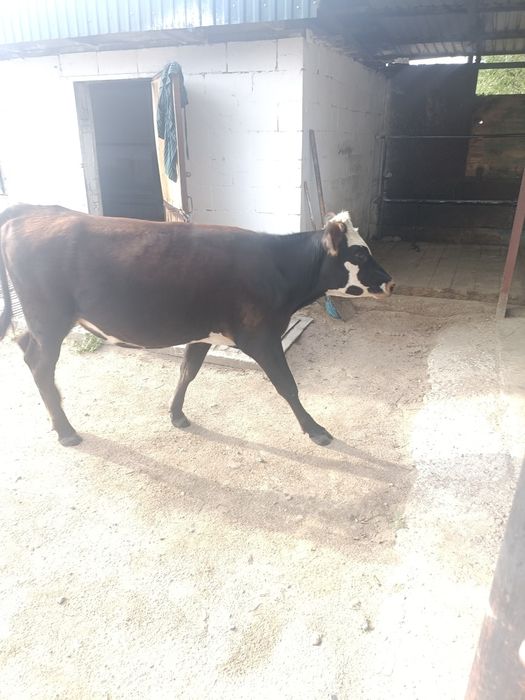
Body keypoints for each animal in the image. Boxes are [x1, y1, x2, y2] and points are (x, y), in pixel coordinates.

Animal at [0, 205, 394, 447]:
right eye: (359, 254)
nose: (391, 282)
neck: (278, 266)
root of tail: (32, 211)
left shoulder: (204, 333)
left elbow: (187, 372)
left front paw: (176, 415)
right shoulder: (262, 337)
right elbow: (288, 386)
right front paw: (315, 430)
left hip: (43, 324)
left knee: (25, 347)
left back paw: (57, 420)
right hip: (50, 320)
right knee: (39, 365)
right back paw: (66, 430)